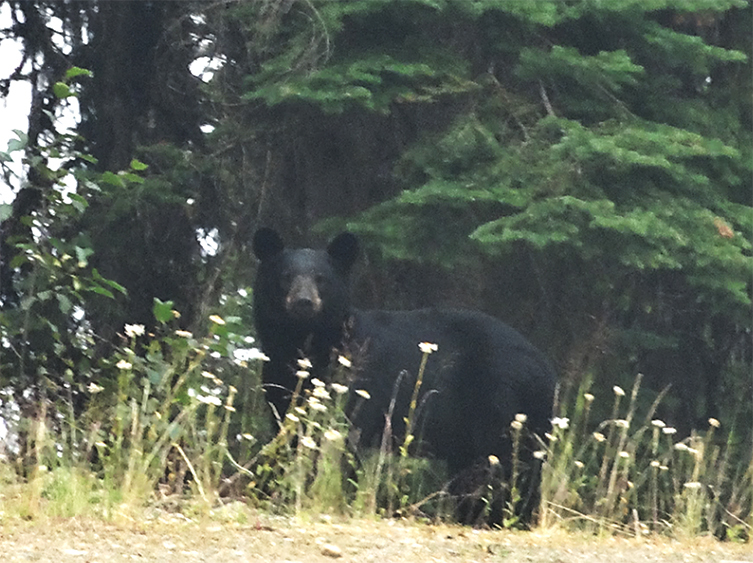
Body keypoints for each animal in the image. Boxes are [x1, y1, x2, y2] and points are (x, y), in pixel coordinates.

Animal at [252, 227, 556, 525]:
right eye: (285, 276)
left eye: (321, 278)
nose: (303, 302)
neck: (305, 343)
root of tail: (545, 366)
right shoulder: (280, 383)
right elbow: (286, 435)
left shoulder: (358, 381)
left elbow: (349, 438)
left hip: (504, 403)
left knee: (512, 466)